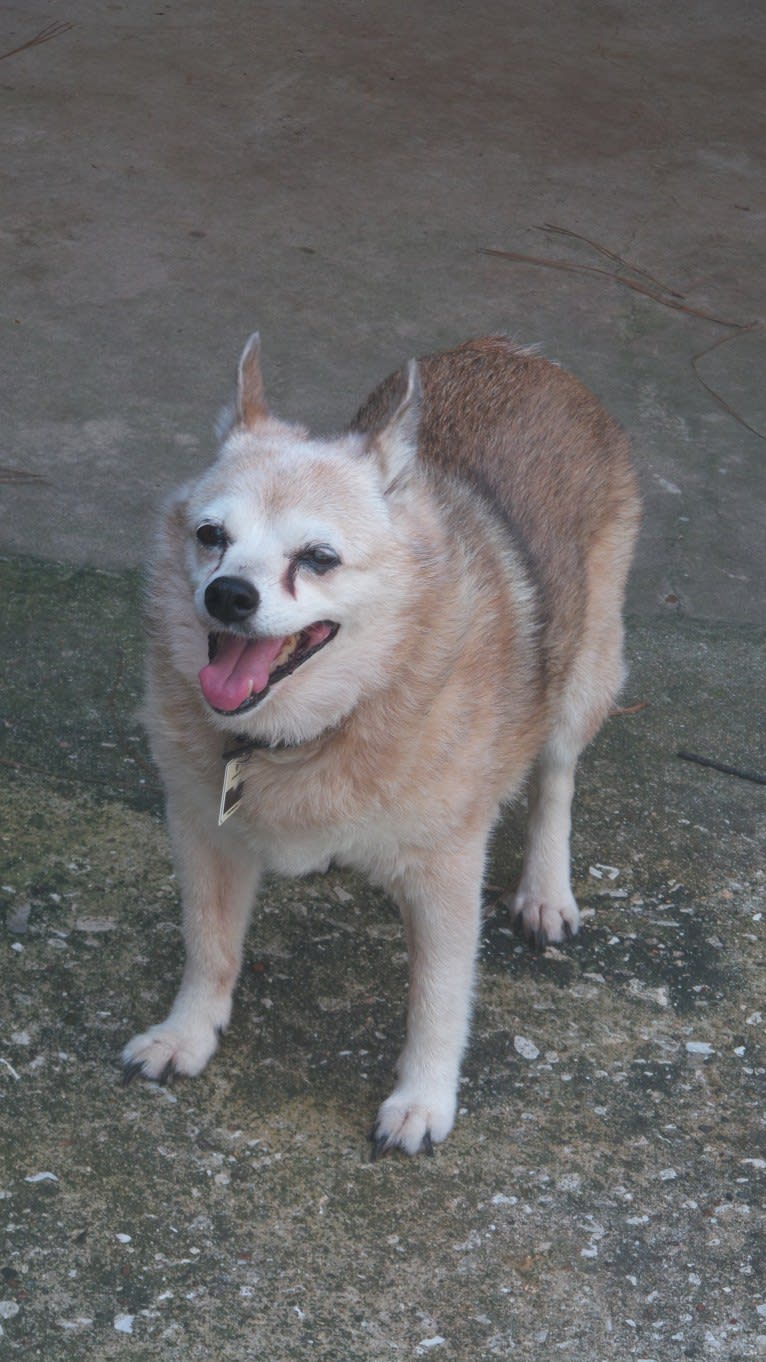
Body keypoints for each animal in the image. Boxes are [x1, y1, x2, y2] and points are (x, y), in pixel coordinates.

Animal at [121, 335, 637, 1154]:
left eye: (319, 557)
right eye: (211, 537)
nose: (227, 594)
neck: (318, 727)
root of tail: (516, 352)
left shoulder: (447, 873)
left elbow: (439, 996)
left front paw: (423, 1099)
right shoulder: (204, 831)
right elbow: (210, 944)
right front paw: (187, 1033)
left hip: (584, 672)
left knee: (555, 778)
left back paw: (545, 891)